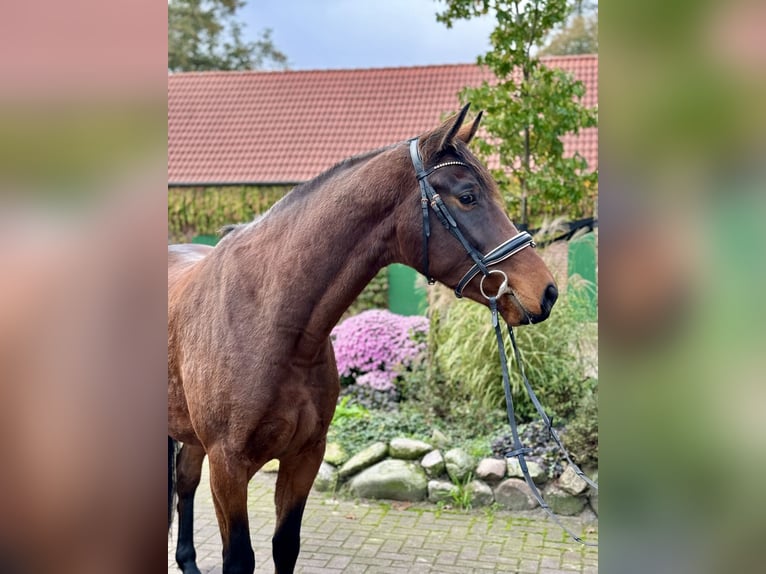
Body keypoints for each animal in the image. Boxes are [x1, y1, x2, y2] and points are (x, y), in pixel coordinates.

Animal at [168, 104, 560, 574]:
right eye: (468, 196)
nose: (547, 291)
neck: (269, 321)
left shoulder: (305, 455)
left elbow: (285, 545)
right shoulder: (228, 465)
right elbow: (239, 558)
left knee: (184, 481)